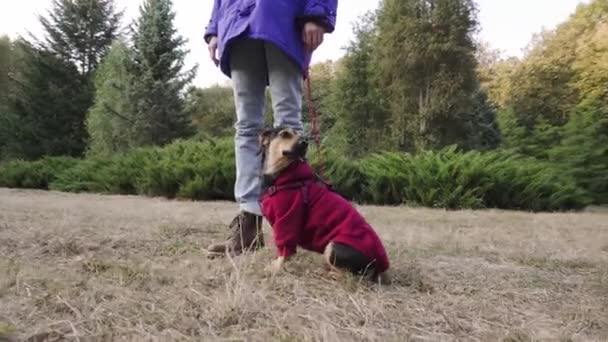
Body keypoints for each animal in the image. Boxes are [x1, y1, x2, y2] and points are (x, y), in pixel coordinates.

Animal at [258, 127, 392, 282]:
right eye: (285, 134)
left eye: (300, 134)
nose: (305, 142)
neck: (284, 176)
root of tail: (379, 268)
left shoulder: (287, 220)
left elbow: (285, 250)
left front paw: (275, 269)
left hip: (333, 246)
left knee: (349, 276)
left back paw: (326, 274)